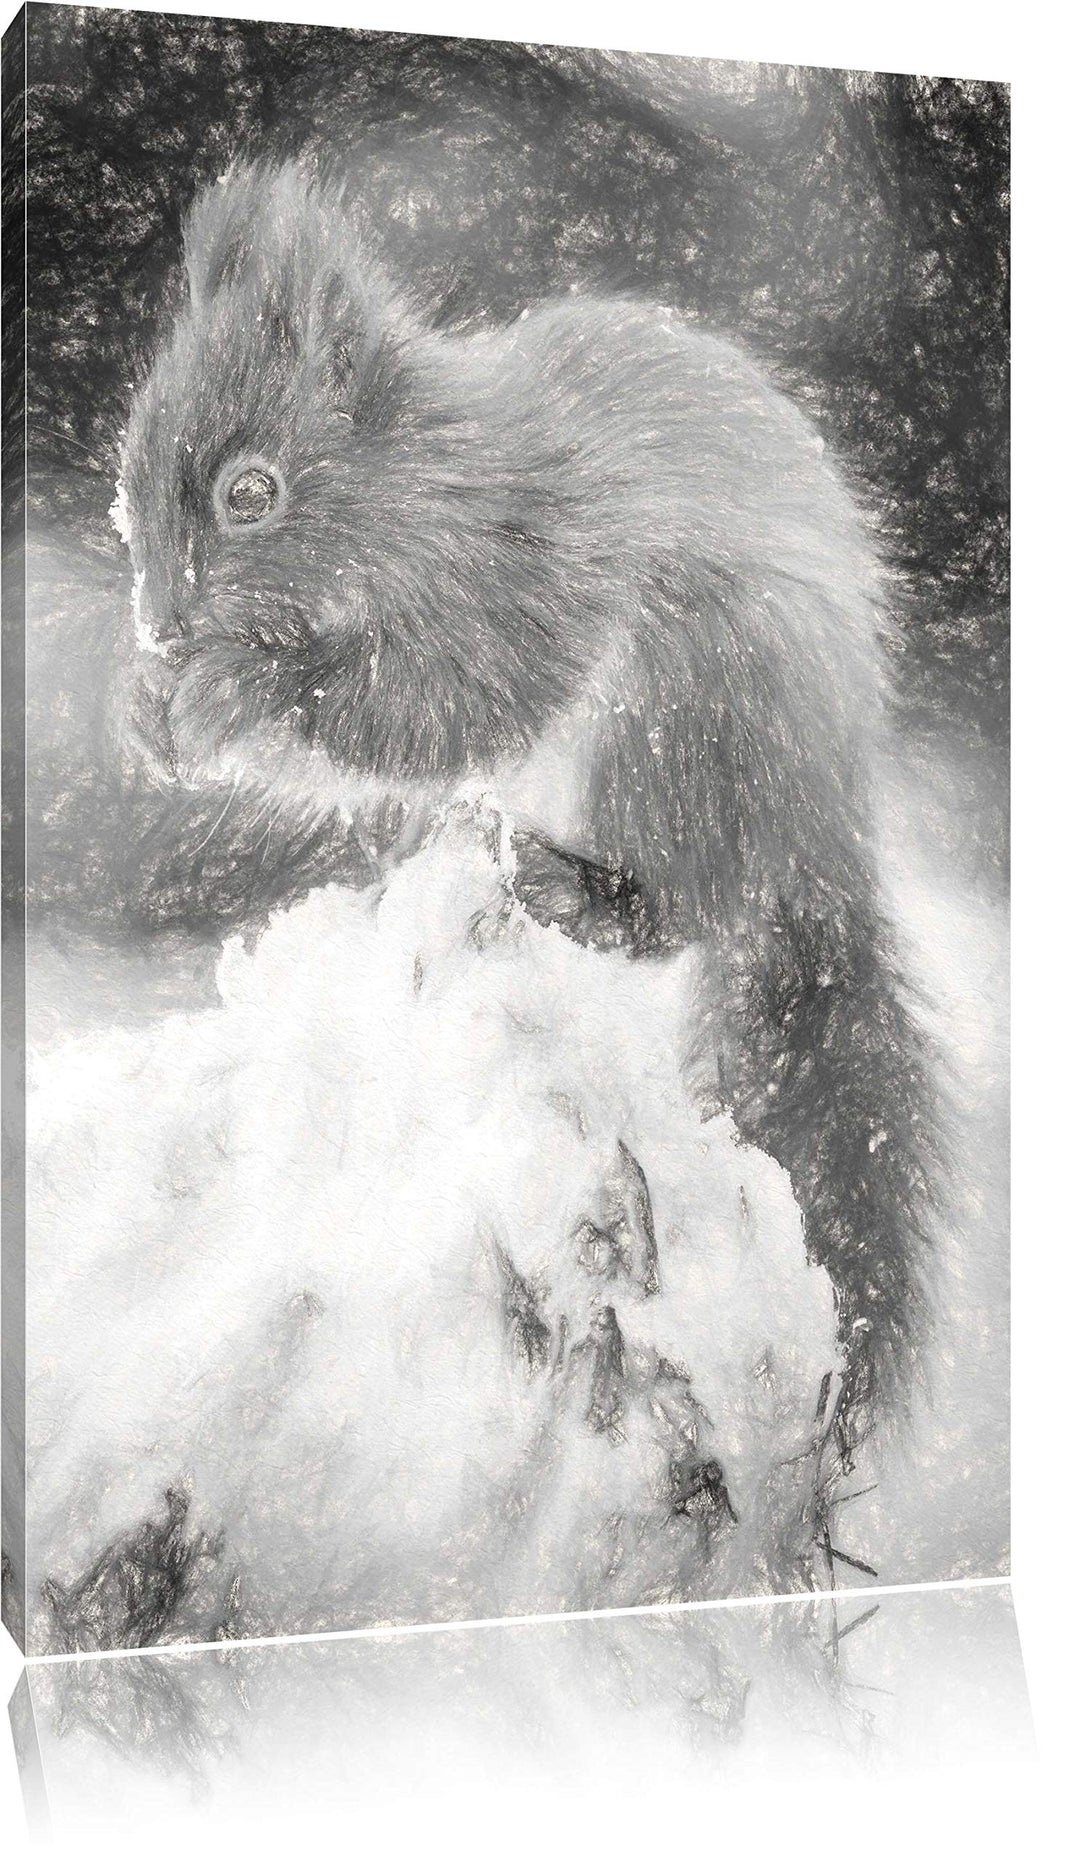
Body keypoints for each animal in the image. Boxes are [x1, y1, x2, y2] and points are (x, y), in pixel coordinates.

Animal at [116, 159, 939, 1437]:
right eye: (130, 463)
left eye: (251, 492)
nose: (156, 622)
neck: (428, 481)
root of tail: (820, 827)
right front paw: (149, 709)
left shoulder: (529, 571)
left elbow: (439, 702)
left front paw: (230, 693)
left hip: (693, 712)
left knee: (681, 908)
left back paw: (575, 892)